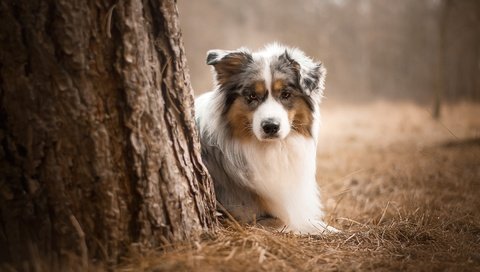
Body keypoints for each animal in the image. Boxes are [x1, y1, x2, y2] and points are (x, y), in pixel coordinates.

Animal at [193, 43, 336, 234]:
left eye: (285, 94)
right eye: (252, 96)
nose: (271, 127)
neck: (271, 148)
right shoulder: (239, 215)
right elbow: (287, 221)